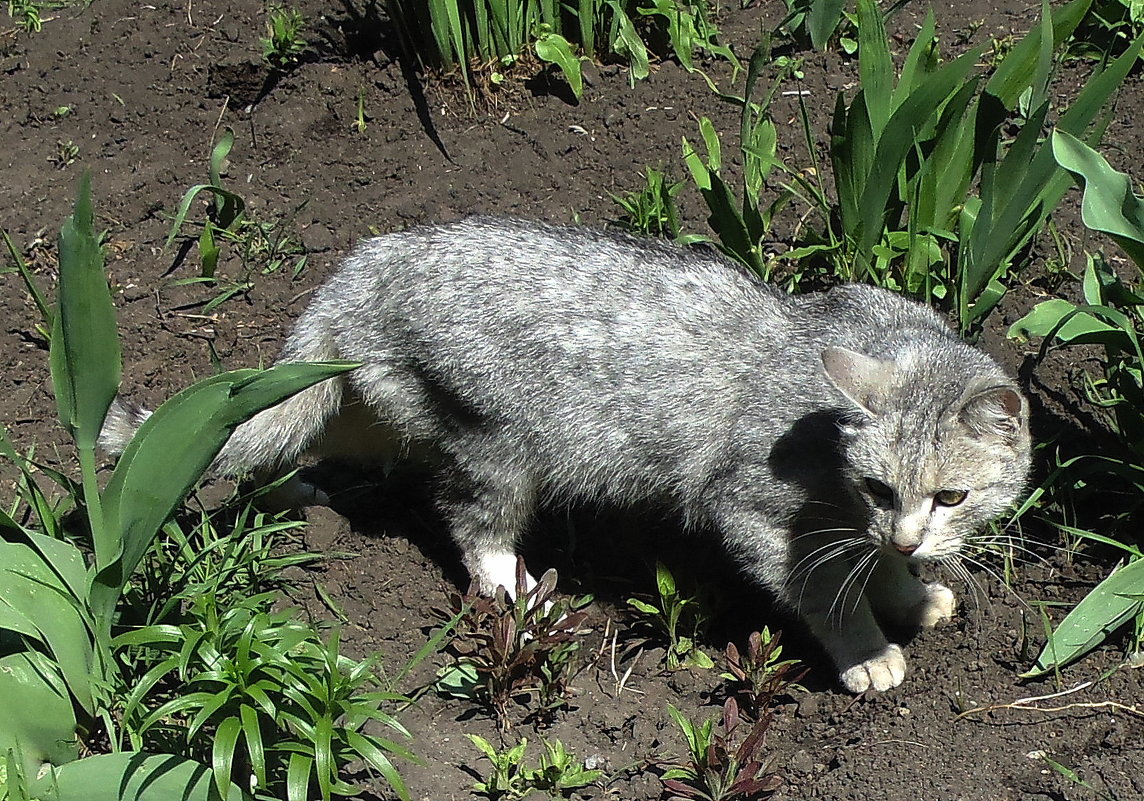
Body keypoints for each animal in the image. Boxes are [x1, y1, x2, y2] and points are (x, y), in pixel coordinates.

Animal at [102, 216, 1034, 691]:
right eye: (880, 486)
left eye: (950, 498)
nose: (906, 534)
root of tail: (371, 254)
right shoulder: (756, 512)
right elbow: (826, 591)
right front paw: (870, 645)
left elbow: (871, 565)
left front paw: (908, 589)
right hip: (501, 442)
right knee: (470, 522)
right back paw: (515, 586)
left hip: (368, 400)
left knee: (281, 421)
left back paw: (288, 490)